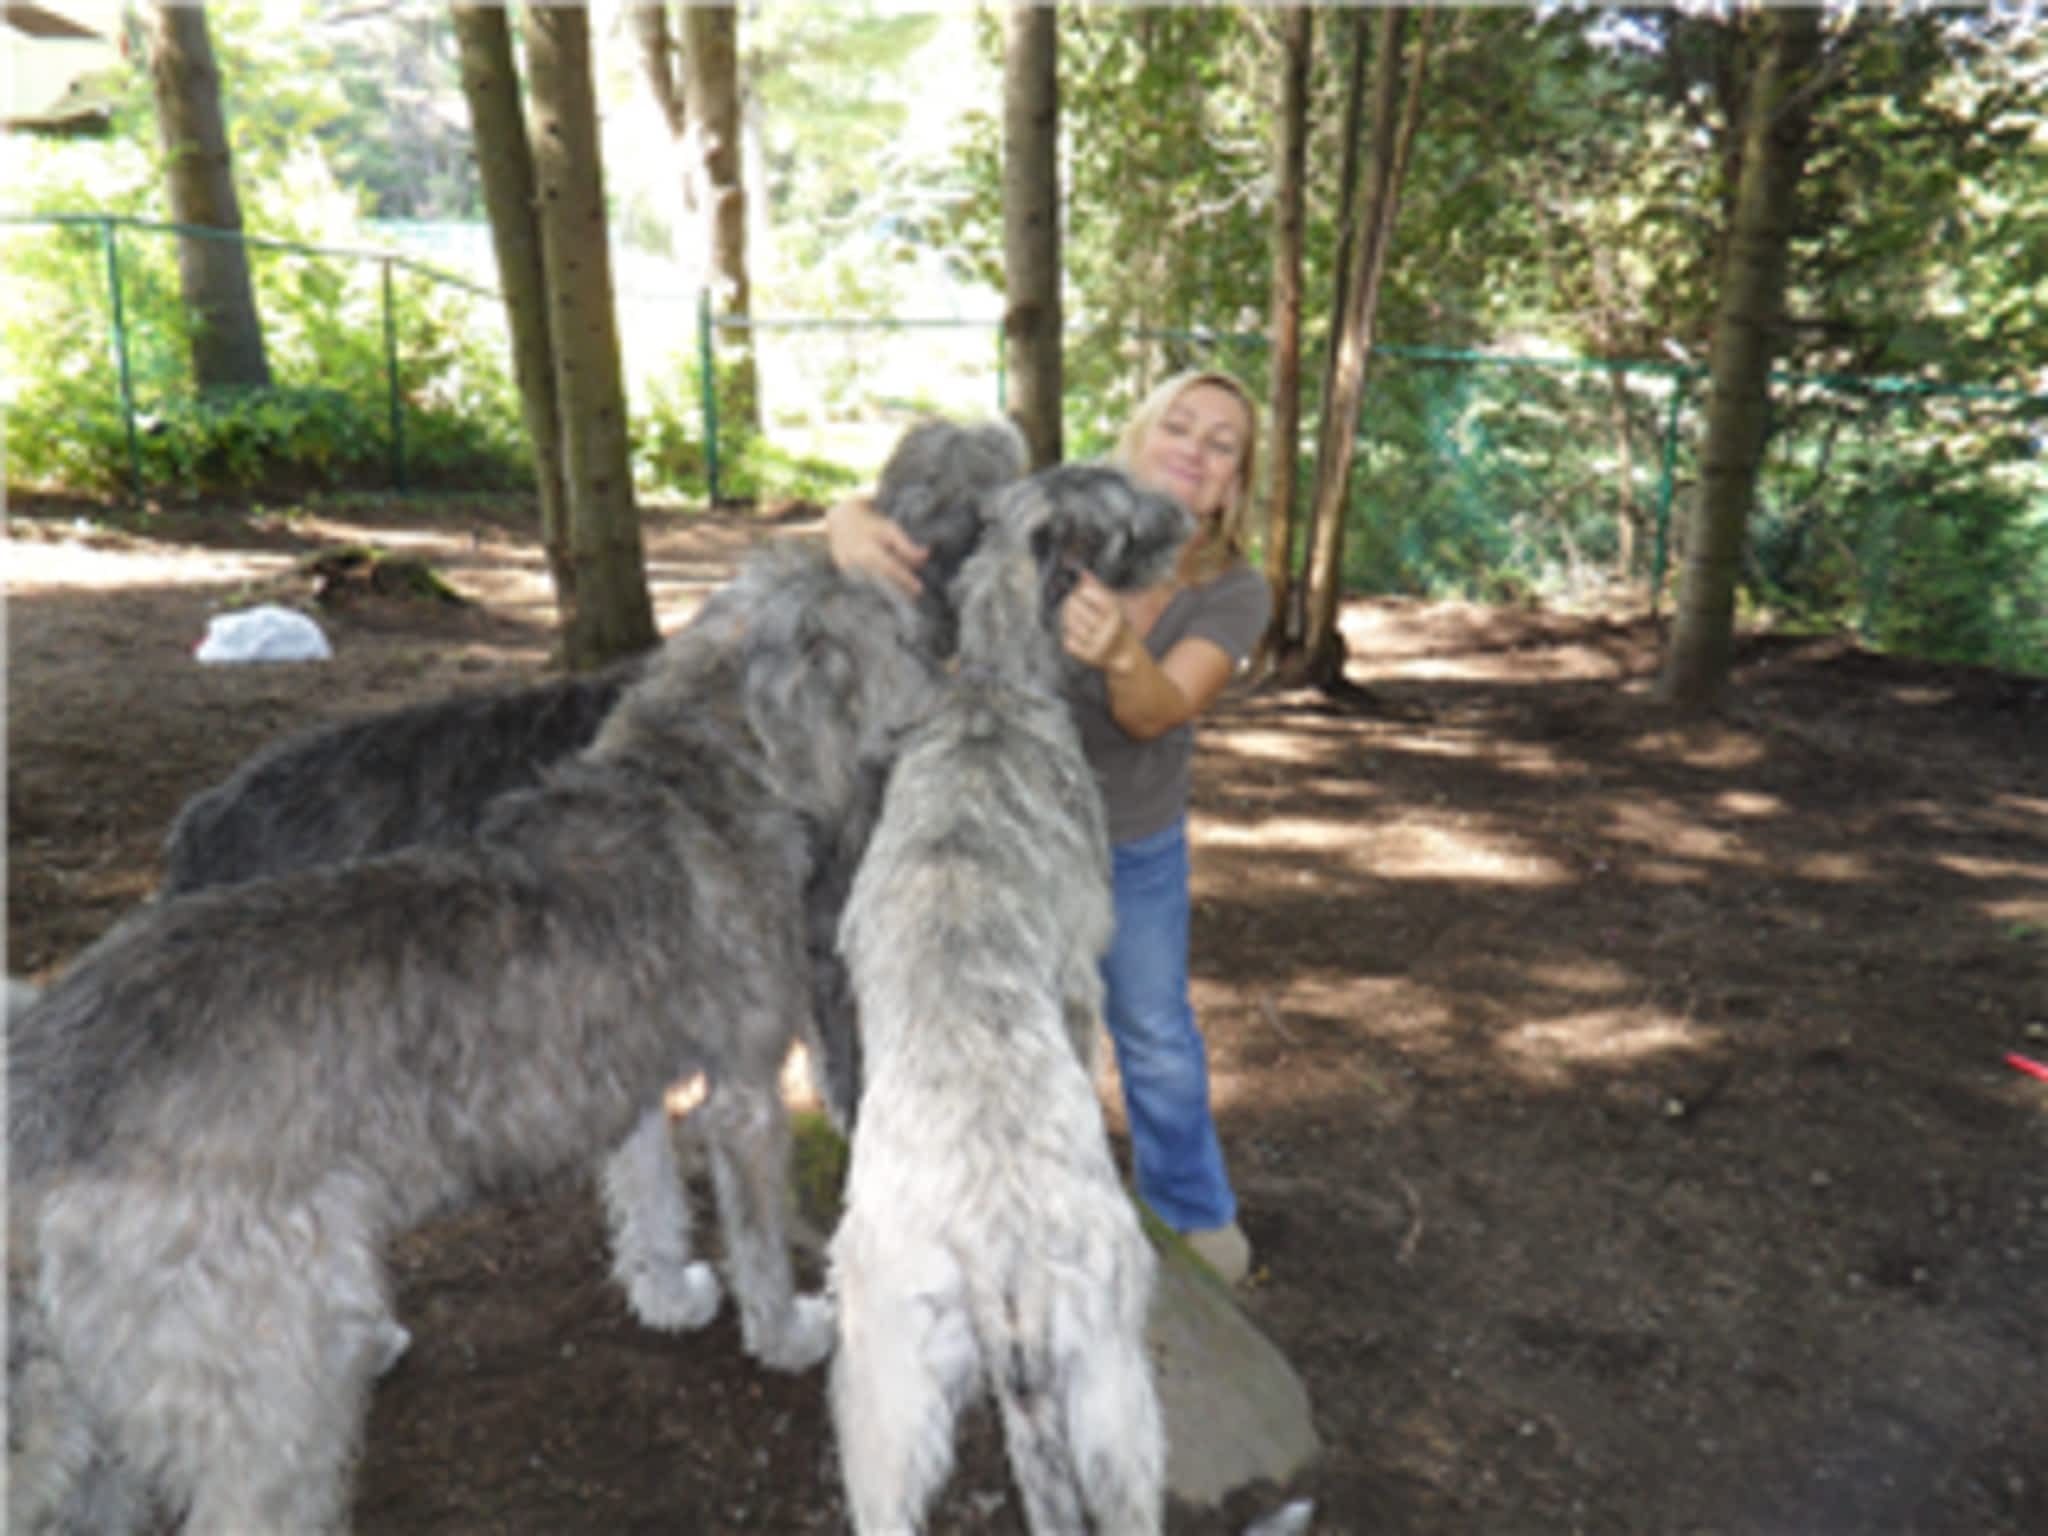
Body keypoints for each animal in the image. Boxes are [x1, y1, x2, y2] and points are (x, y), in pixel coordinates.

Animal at [827, 466, 1196, 1536]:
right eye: (1123, 512)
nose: (1191, 518)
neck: (996, 689)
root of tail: (1004, 1264)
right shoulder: (1079, 974)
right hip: (1112, 1397)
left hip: (901, 1405)